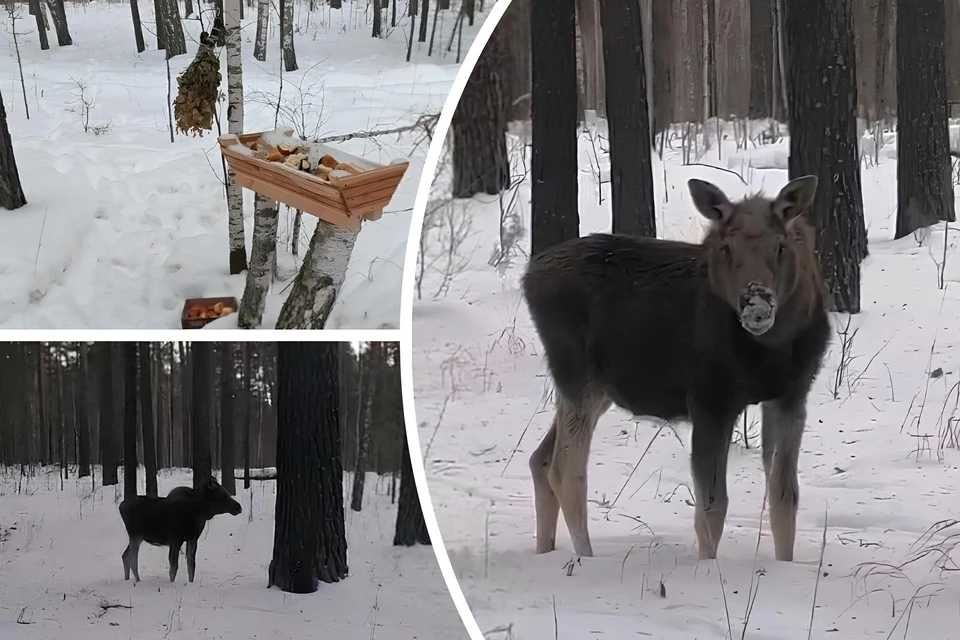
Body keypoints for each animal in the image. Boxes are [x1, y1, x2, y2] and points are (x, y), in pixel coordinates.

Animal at [520, 175, 828, 560]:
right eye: (725, 248)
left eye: (781, 246)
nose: (756, 305)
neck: (772, 351)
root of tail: (527, 276)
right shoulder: (709, 399)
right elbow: (712, 507)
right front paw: (708, 567)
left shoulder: (791, 395)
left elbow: (784, 499)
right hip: (577, 374)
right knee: (565, 471)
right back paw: (585, 557)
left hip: (595, 388)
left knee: (540, 459)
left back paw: (545, 551)